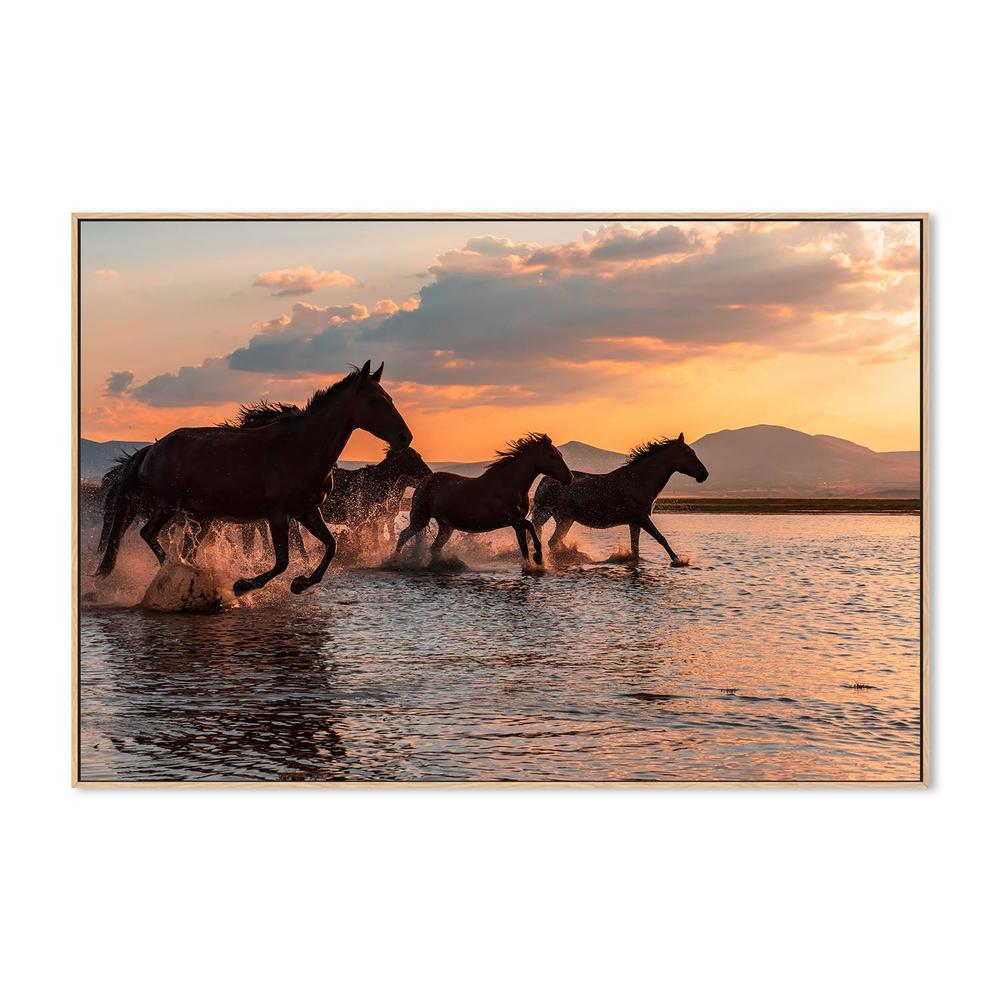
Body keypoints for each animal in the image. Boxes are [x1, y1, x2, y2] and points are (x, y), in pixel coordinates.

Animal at [96, 361, 412, 595]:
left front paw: (300, 584)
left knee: (183, 547)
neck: (300, 448)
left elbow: (330, 546)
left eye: (390, 398)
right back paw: (178, 572)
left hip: (199, 516)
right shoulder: (278, 513)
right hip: (167, 506)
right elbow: (282, 560)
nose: (404, 437)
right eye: (374, 399)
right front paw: (243, 585)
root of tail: (151, 449)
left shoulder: (307, 511)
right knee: (148, 533)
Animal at [394, 433, 572, 565]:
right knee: (403, 536)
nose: (569, 478)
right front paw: (539, 557)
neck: (510, 484)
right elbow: (531, 526)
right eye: (552, 456)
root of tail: (423, 482)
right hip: (420, 519)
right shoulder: (508, 518)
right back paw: (394, 561)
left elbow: (524, 548)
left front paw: (532, 564)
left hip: (446, 526)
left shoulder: (517, 524)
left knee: (434, 548)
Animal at [530, 434, 708, 564]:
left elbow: (635, 550)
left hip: (564, 519)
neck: (639, 481)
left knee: (552, 541)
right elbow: (661, 538)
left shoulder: (634, 522)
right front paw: (679, 560)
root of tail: (544, 480)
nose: (704, 474)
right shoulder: (642, 518)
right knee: (548, 539)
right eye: (688, 453)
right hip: (547, 514)